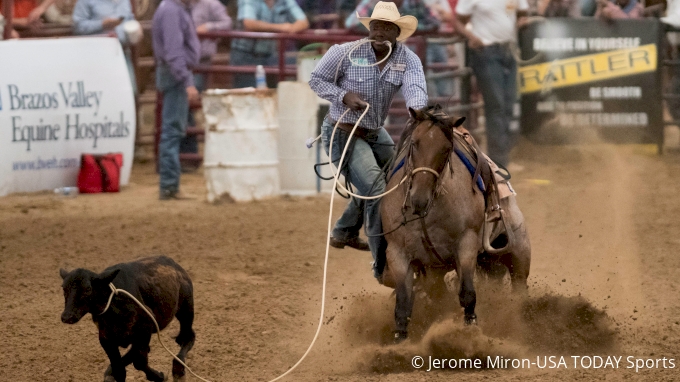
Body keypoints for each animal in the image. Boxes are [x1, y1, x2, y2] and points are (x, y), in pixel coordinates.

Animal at [59, 256, 195, 382]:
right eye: (63, 288)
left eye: (88, 289)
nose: (67, 316)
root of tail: (174, 264)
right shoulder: (106, 338)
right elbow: (119, 369)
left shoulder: (145, 328)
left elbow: (139, 362)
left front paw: (160, 376)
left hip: (186, 310)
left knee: (187, 337)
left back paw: (178, 370)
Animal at [378, 106, 532, 342]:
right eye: (414, 143)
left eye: (446, 149)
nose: (418, 198)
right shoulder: (397, 252)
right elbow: (403, 305)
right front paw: (399, 342)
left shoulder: (466, 244)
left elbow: (467, 293)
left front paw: (471, 333)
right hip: (440, 270)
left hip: (518, 250)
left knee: (519, 288)